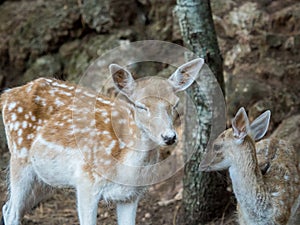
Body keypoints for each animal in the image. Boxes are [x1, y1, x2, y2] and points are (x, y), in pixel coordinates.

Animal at [0, 58, 204, 225]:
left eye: (175, 104)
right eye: (140, 106)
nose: (169, 137)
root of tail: (7, 94)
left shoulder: (131, 195)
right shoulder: (86, 181)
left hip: (46, 177)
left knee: (8, 207)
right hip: (19, 157)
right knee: (12, 212)